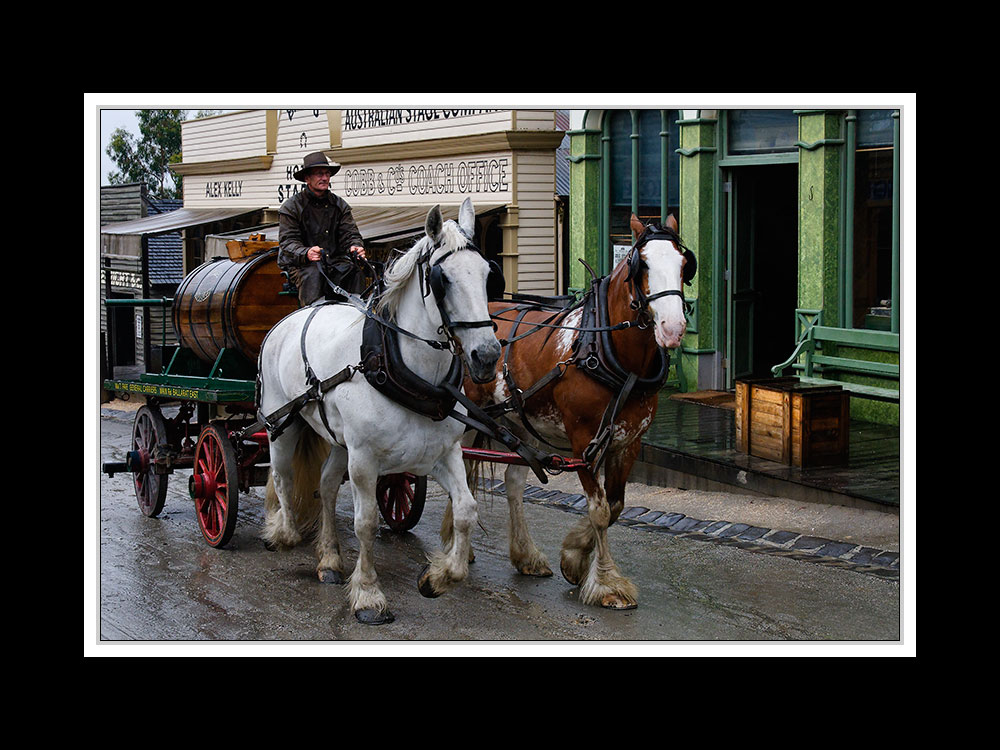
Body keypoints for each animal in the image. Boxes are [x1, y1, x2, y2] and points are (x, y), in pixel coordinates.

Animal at [258, 197, 500, 624]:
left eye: (488, 274)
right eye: (443, 279)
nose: (486, 357)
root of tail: (287, 320)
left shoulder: (442, 454)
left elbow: (467, 510)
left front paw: (439, 577)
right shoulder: (365, 461)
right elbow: (366, 523)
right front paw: (369, 595)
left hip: (338, 441)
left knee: (325, 485)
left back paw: (330, 560)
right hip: (282, 423)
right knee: (283, 477)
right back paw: (284, 533)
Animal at [460, 213, 696, 612]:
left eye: (684, 264)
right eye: (643, 265)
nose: (673, 328)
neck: (605, 350)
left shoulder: (626, 443)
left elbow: (615, 506)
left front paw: (574, 556)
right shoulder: (584, 439)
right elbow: (599, 510)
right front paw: (607, 583)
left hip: (519, 422)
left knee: (511, 483)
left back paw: (524, 555)